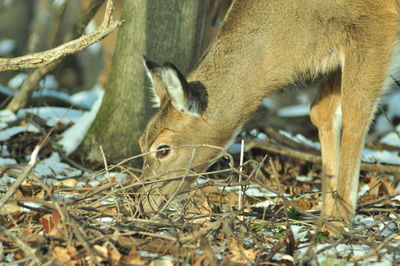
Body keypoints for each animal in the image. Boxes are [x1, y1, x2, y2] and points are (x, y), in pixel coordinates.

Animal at [138, 0, 400, 232]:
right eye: (140, 142)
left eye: (163, 149)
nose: (144, 204)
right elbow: (320, 111)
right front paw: (325, 220)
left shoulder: (372, 25)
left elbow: (356, 110)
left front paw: (340, 223)